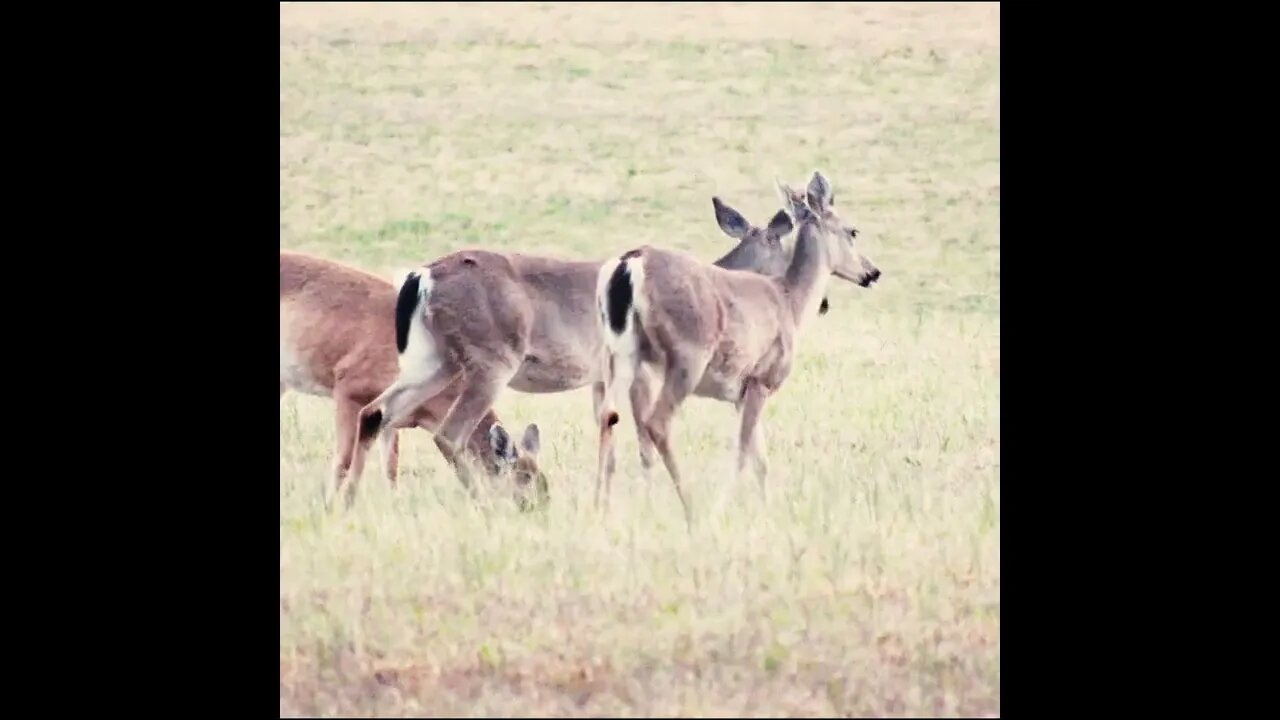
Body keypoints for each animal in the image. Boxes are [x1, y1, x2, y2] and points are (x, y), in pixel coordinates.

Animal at [280, 249, 545, 507]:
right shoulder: (349, 391)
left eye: (540, 476)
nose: (537, 507)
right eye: (522, 477)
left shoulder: (389, 421)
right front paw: (331, 507)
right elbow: (343, 461)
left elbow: (391, 468)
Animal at [350, 190, 808, 491]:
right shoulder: (638, 371)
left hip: (434, 360)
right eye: (779, 240)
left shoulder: (600, 378)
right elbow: (642, 437)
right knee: (447, 433)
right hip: (488, 361)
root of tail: (421, 276)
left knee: (378, 415)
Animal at [591, 174, 880, 520]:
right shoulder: (761, 379)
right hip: (686, 356)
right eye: (853, 231)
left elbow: (761, 460)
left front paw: (767, 509)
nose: (872, 272)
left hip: (620, 354)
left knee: (608, 415)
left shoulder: (741, 395)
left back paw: (600, 505)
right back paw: (690, 506)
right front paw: (723, 506)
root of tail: (629, 265)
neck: (791, 302)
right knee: (656, 423)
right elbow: (744, 453)